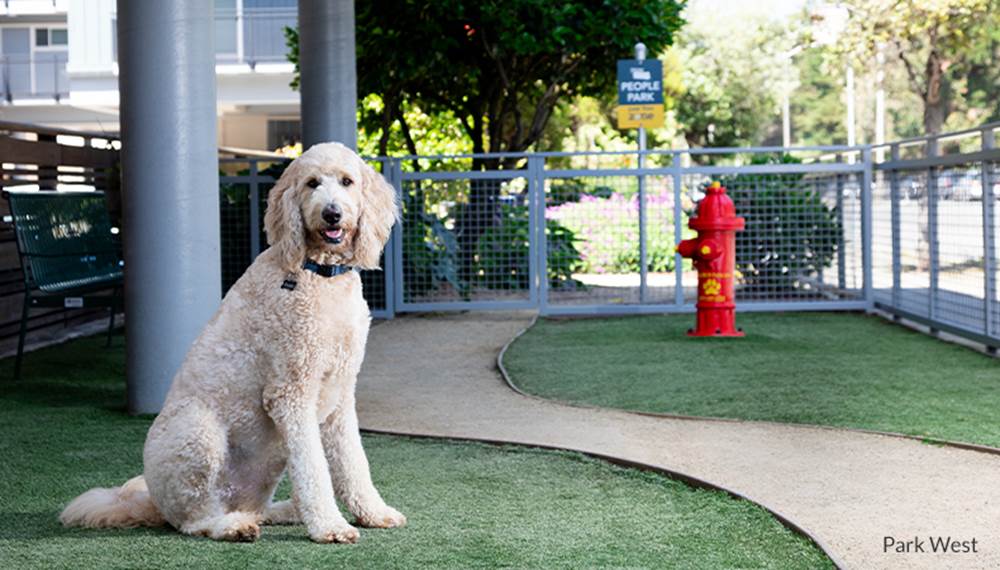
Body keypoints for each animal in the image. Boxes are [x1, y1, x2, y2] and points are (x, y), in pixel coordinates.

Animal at [60, 142, 404, 540]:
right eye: (312, 184)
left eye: (347, 181)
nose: (331, 214)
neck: (318, 274)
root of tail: (155, 505)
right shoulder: (291, 392)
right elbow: (313, 467)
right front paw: (330, 525)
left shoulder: (340, 392)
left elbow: (353, 461)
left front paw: (373, 512)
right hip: (197, 430)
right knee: (194, 521)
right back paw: (233, 526)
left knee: (257, 509)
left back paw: (285, 511)